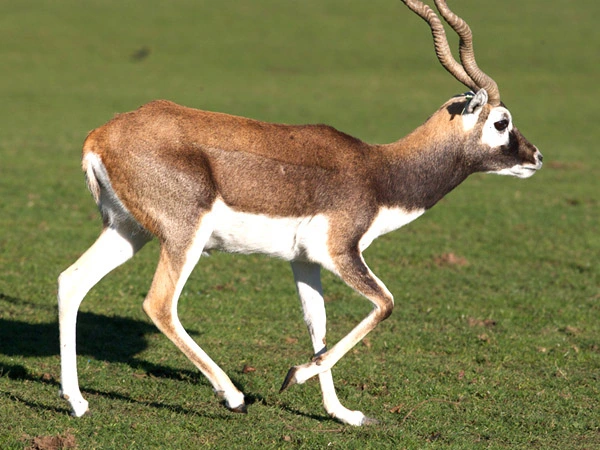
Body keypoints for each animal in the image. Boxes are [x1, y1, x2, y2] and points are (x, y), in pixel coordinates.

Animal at [58, 0, 540, 426]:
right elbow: (384, 303)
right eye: (501, 122)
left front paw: (343, 413)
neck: (379, 172)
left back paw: (78, 403)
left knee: (71, 281)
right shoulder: (341, 252)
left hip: (128, 230)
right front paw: (295, 376)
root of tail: (99, 136)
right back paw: (233, 397)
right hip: (183, 236)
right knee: (159, 303)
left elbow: (317, 324)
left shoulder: (305, 261)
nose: (535, 157)